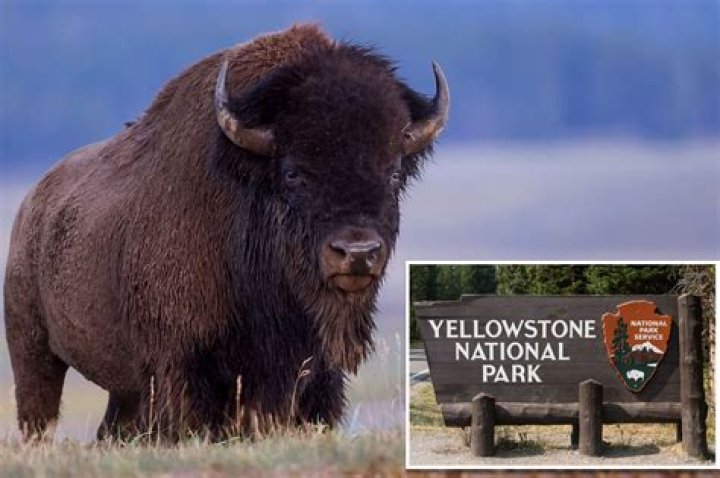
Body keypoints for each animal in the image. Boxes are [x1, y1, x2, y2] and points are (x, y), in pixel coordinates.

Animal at [4, 24, 449, 441]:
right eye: (292, 173)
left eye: (394, 172)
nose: (357, 253)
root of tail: (31, 204)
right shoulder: (182, 368)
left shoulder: (317, 376)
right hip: (32, 351)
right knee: (38, 413)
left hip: (122, 390)